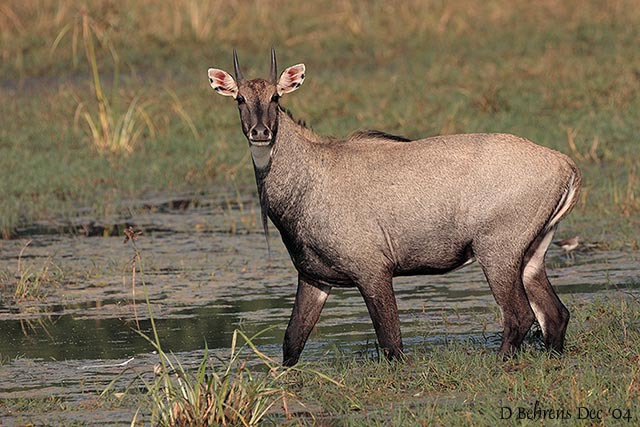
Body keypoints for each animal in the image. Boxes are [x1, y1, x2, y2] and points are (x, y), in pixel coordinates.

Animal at [208, 48, 584, 366]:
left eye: (276, 97)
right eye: (240, 99)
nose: (260, 132)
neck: (310, 177)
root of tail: (564, 163)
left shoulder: (373, 271)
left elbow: (391, 343)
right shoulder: (313, 278)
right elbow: (291, 341)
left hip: (497, 252)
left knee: (519, 315)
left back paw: (499, 363)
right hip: (532, 254)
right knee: (555, 314)